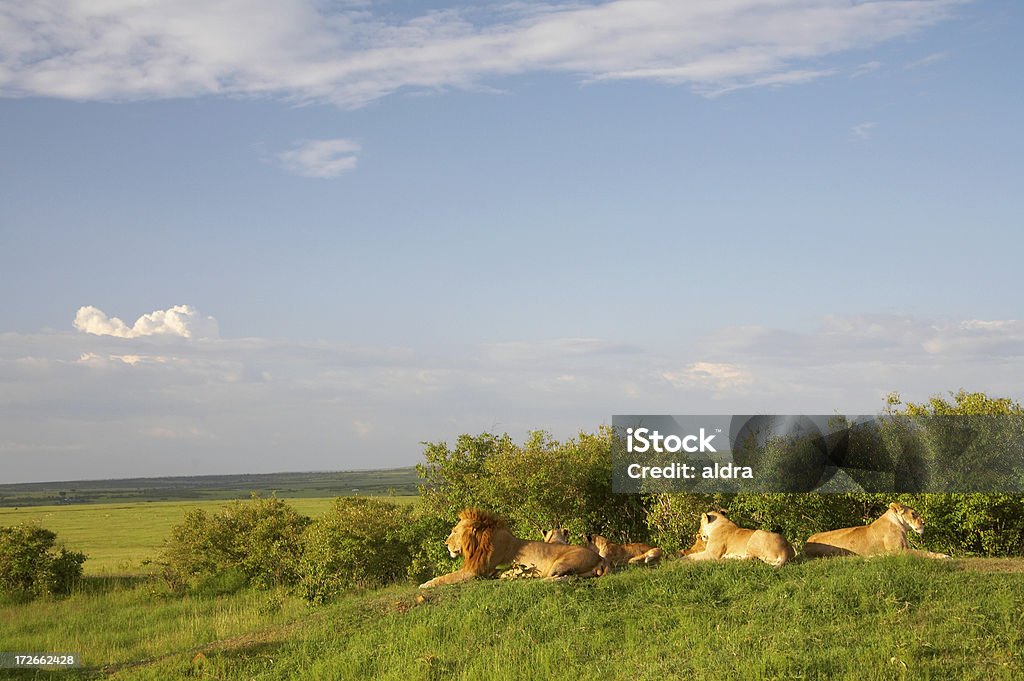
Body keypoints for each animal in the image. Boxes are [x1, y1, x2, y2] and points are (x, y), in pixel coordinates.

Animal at [417, 507, 606, 585]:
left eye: (454, 531)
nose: (445, 544)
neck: (478, 543)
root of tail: (600, 559)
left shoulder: (475, 571)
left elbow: (446, 578)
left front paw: (426, 584)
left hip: (560, 563)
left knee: (561, 577)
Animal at [798, 499, 950, 557]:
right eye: (913, 514)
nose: (924, 523)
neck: (900, 525)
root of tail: (806, 544)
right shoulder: (900, 551)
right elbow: (925, 553)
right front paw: (944, 556)